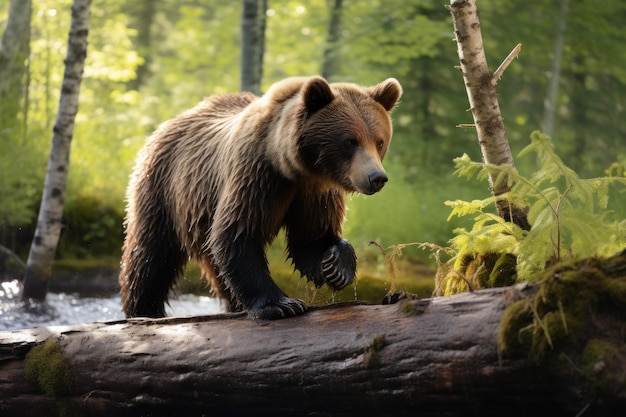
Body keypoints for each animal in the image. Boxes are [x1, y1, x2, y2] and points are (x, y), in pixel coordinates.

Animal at [118, 75, 400, 318]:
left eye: (379, 141)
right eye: (350, 141)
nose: (376, 177)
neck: (293, 167)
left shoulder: (314, 193)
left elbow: (311, 239)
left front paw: (337, 265)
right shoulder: (256, 175)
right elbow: (237, 233)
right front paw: (282, 304)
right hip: (163, 188)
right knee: (150, 256)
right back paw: (143, 311)